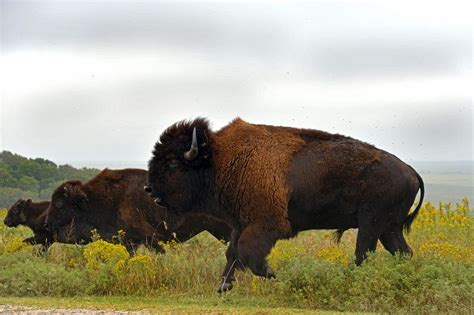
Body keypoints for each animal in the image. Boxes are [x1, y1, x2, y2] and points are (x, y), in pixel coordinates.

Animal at [146, 119, 424, 294]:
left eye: (173, 163)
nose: (149, 189)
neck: (219, 159)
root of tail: (410, 171)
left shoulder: (267, 225)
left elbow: (249, 254)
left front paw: (273, 275)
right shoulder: (241, 224)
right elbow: (232, 253)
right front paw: (223, 286)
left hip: (371, 224)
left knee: (363, 254)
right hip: (388, 229)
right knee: (401, 252)